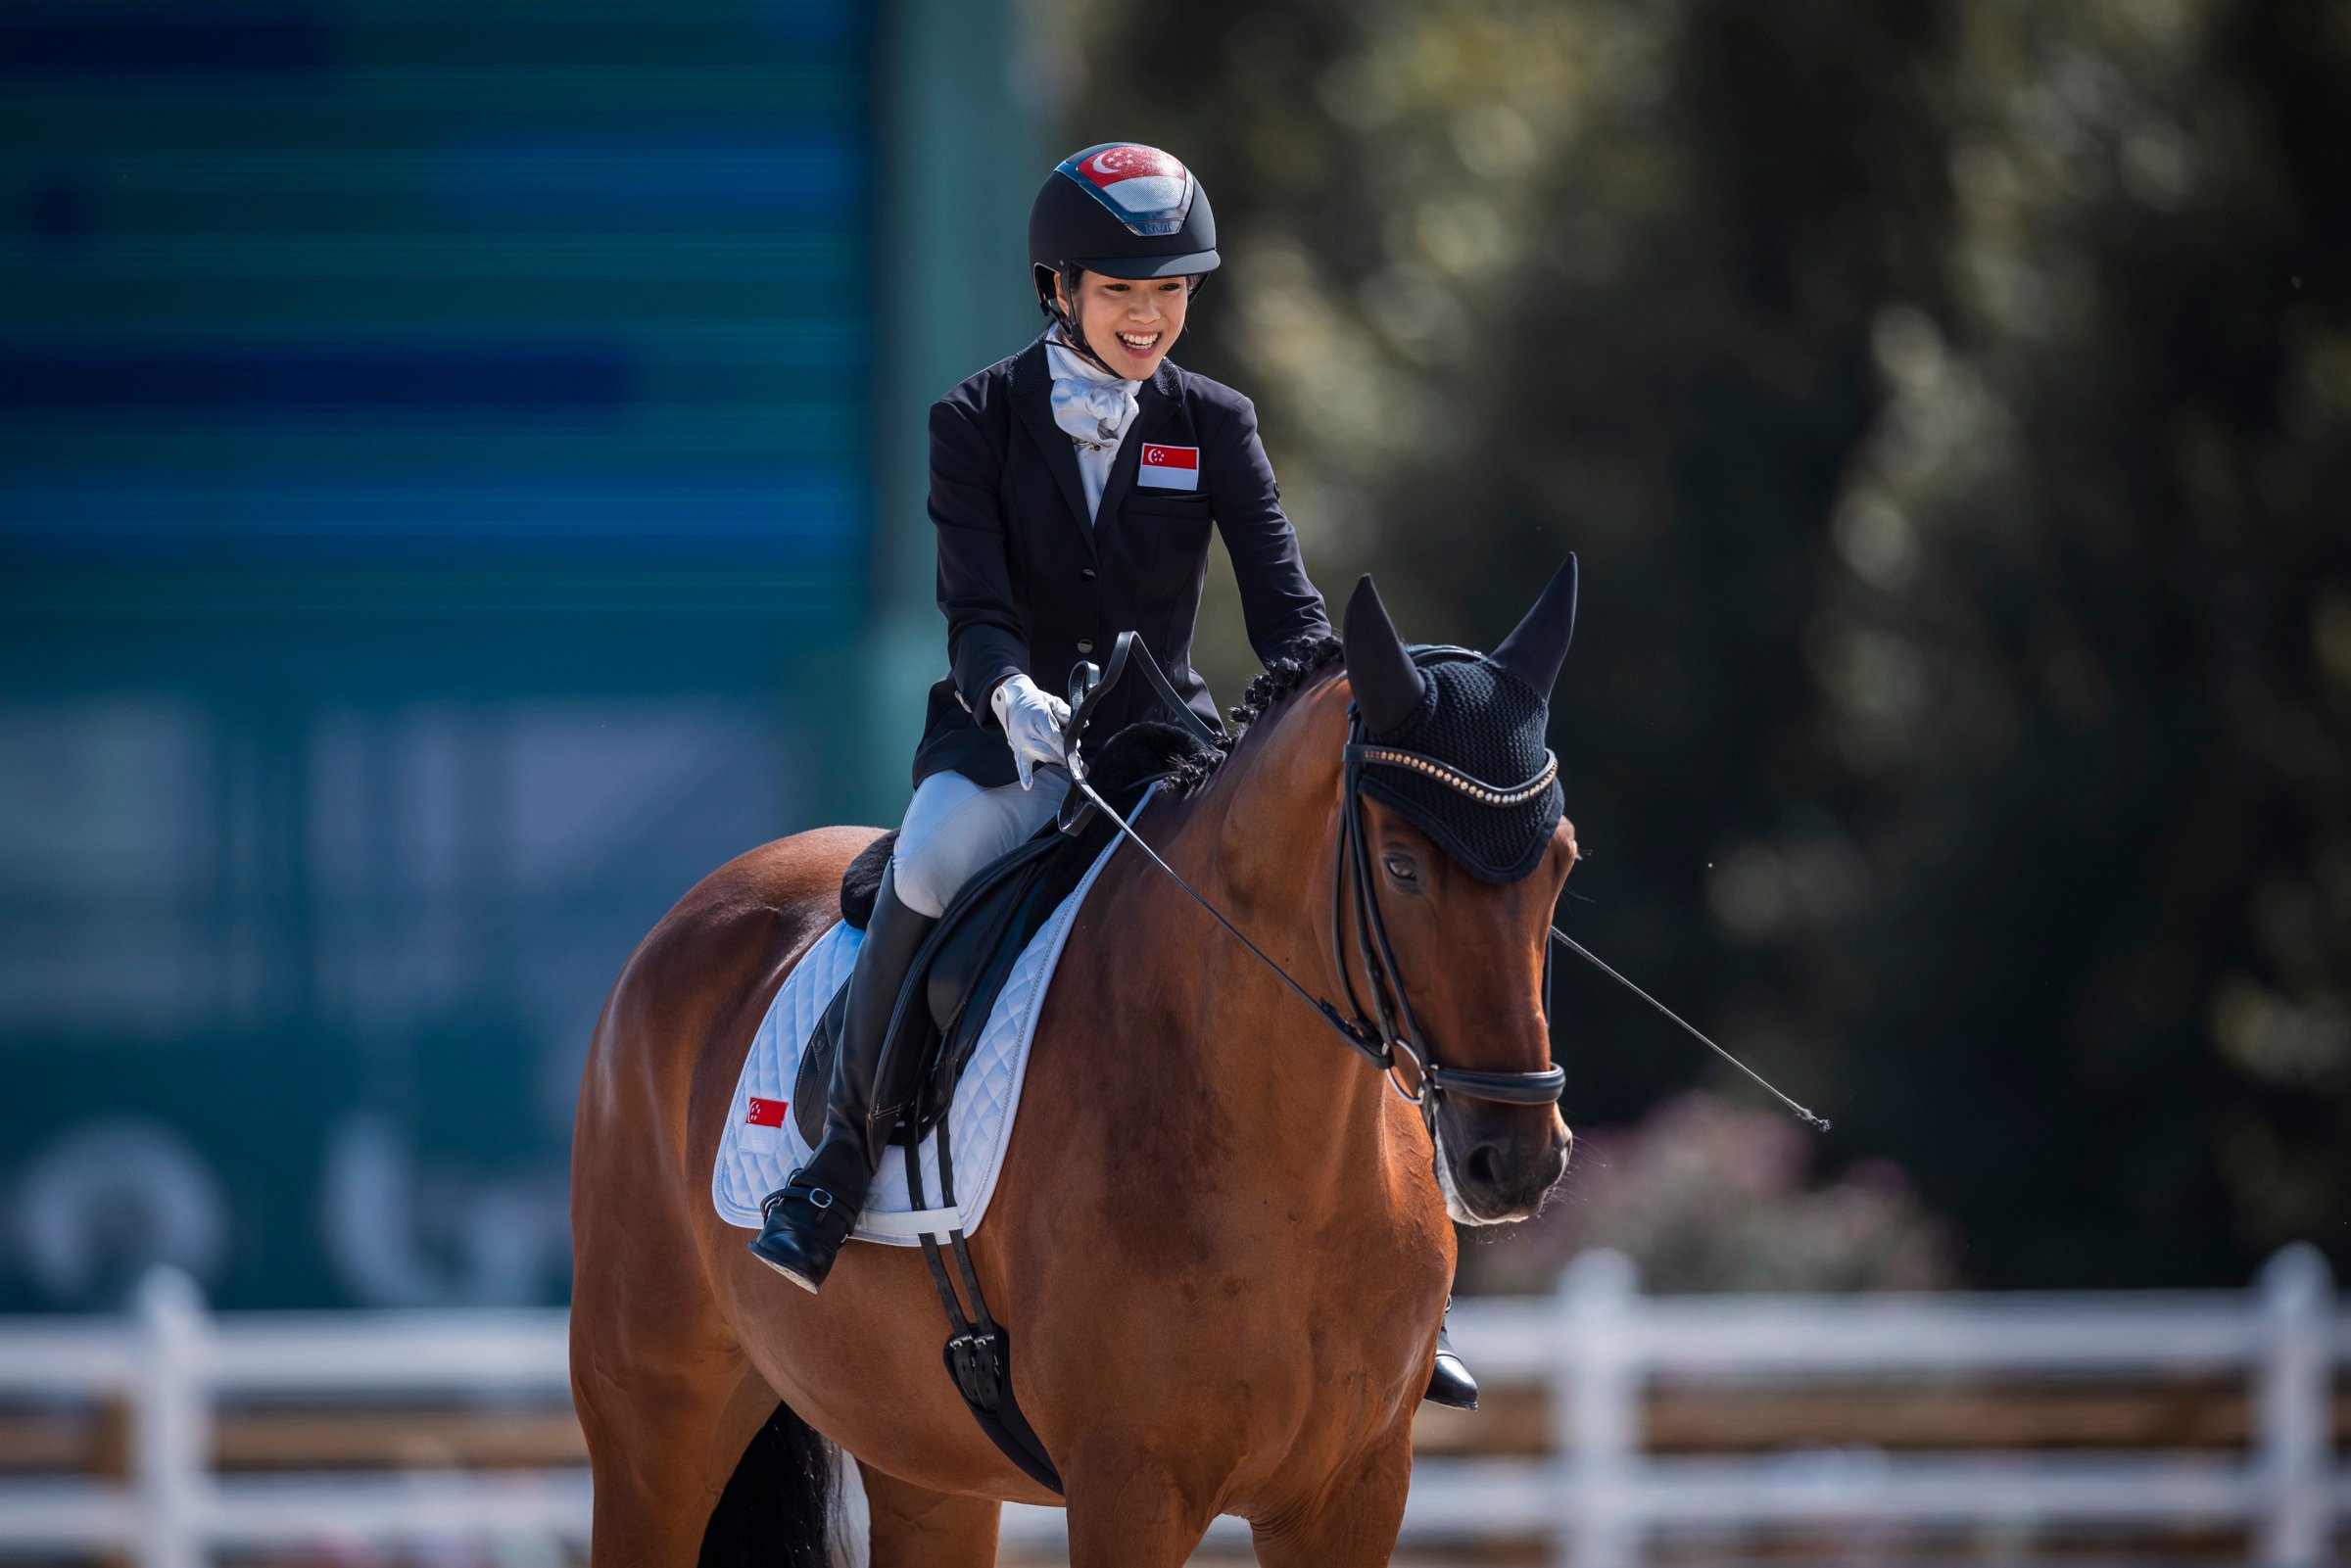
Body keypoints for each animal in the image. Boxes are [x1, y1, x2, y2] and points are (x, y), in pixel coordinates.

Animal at [568, 566, 1579, 1568]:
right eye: (1403, 867)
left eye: (1561, 862)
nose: (1517, 1160)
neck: (1294, 1169)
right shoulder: (1128, 1485)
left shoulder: (1354, 1490)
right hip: (654, 1428)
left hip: (925, 1459)